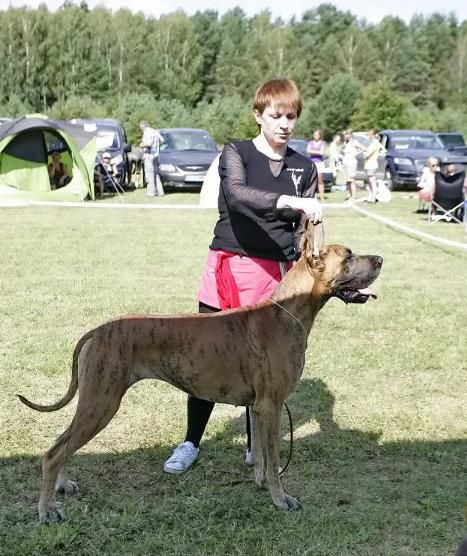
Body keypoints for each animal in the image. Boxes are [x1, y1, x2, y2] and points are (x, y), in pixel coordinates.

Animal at [18, 221, 382, 523]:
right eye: (349, 257)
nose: (380, 259)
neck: (287, 311)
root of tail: (96, 331)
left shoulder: (258, 407)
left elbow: (260, 456)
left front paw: (260, 483)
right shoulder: (272, 405)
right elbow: (273, 459)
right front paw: (281, 499)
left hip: (95, 403)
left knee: (63, 444)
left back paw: (63, 486)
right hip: (101, 403)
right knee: (53, 452)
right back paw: (47, 510)